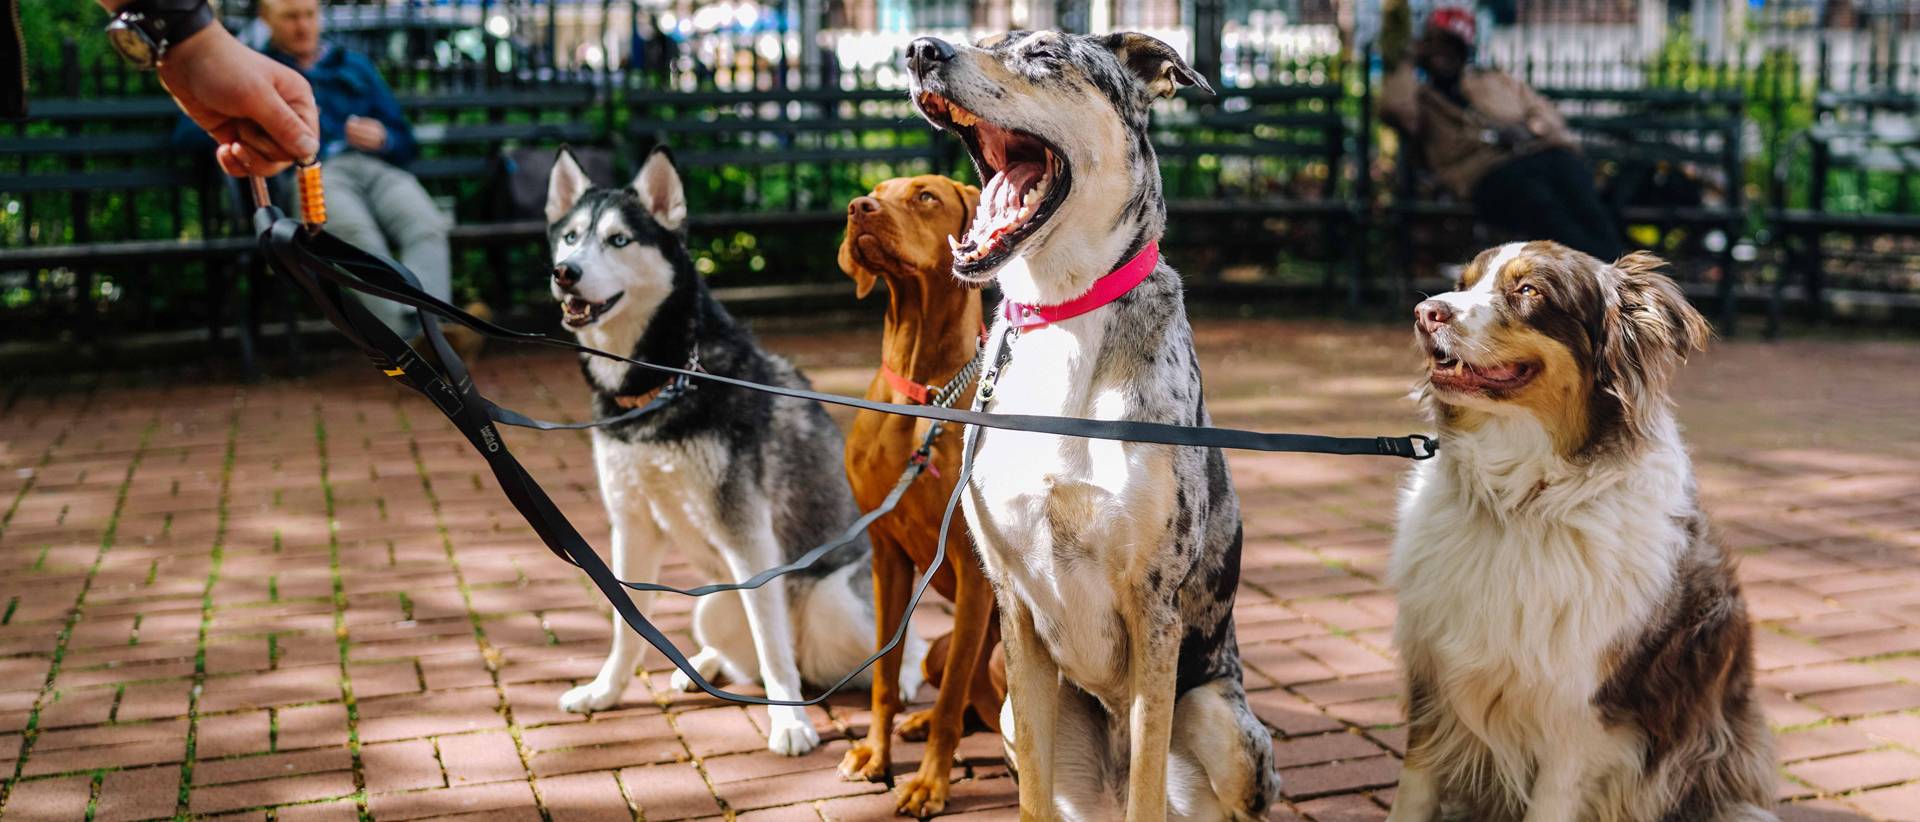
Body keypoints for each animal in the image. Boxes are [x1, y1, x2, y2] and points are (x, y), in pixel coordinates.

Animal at [545, 148, 925, 756]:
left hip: (832, 602)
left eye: (619, 240)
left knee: (895, 646)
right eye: (570, 237)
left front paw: (790, 724)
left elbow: (771, 647)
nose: (566, 273)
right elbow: (627, 625)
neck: (666, 381)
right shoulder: (631, 526)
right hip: (713, 604)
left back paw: (901, 678)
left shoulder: (748, 534)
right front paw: (605, 691)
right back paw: (701, 666)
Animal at [837, 173, 1006, 814]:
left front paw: (930, 783)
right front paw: (876, 754)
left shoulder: (974, 570)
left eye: (925, 196)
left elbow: (952, 701)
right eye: (875, 190)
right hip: (935, 648)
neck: (921, 394)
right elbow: (885, 679)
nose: (858, 209)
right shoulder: (885, 554)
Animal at [906, 30, 1282, 814]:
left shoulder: (1154, 608)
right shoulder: (1013, 610)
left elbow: (1147, 790)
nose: (921, 49)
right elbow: (1032, 794)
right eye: (987, 38)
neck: (1062, 312)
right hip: (1015, 713)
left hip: (1227, 726)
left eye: (1047, 54)